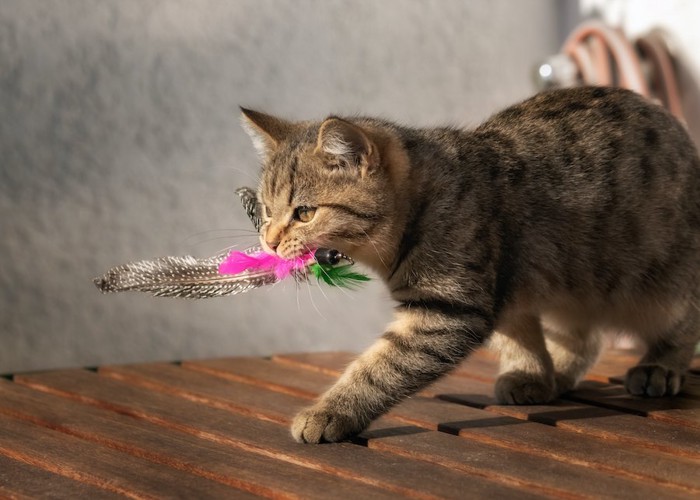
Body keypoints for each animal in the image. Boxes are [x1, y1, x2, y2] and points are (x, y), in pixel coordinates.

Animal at [239, 87, 700, 446]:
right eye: (266, 209)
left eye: (304, 212)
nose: (269, 241)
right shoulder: (508, 293)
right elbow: (520, 338)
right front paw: (530, 372)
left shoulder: (449, 309)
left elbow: (381, 367)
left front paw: (330, 411)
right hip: (573, 282)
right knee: (582, 338)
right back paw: (559, 373)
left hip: (666, 285)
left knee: (682, 326)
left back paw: (658, 367)